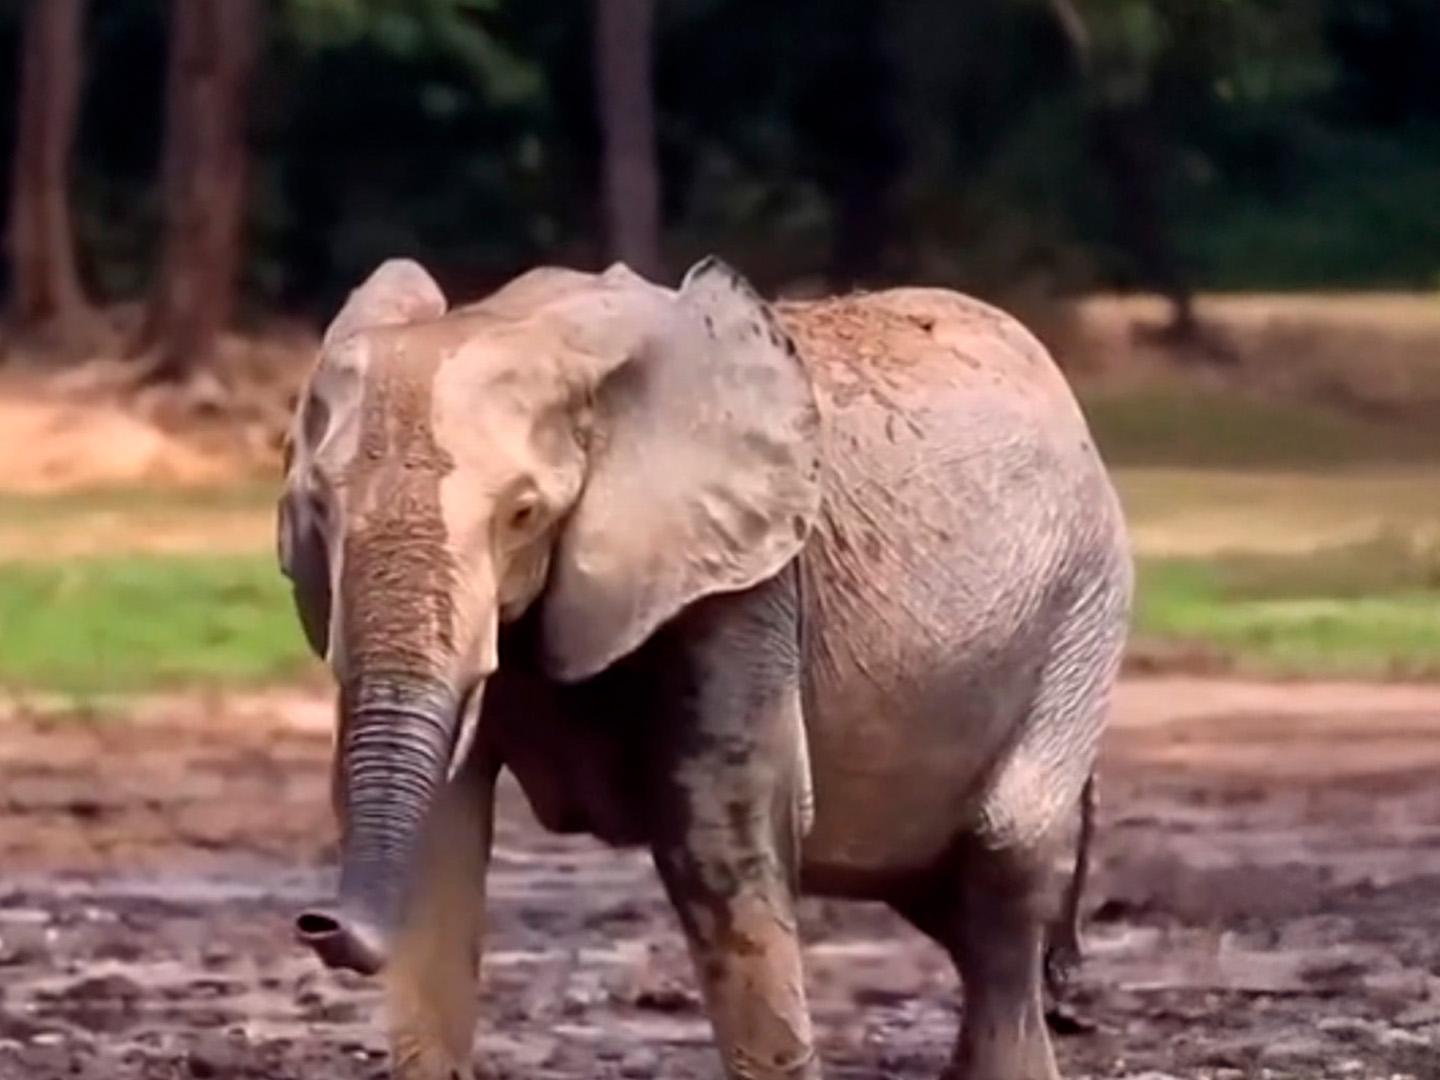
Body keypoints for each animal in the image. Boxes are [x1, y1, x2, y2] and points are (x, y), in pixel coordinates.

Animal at [275, 256, 1128, 1080]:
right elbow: (442, 834)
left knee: (1004, 860)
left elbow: (718, 836)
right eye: (318, 509)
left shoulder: (743, 581)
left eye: (523, 514)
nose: (316, 922)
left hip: (1085, 605)